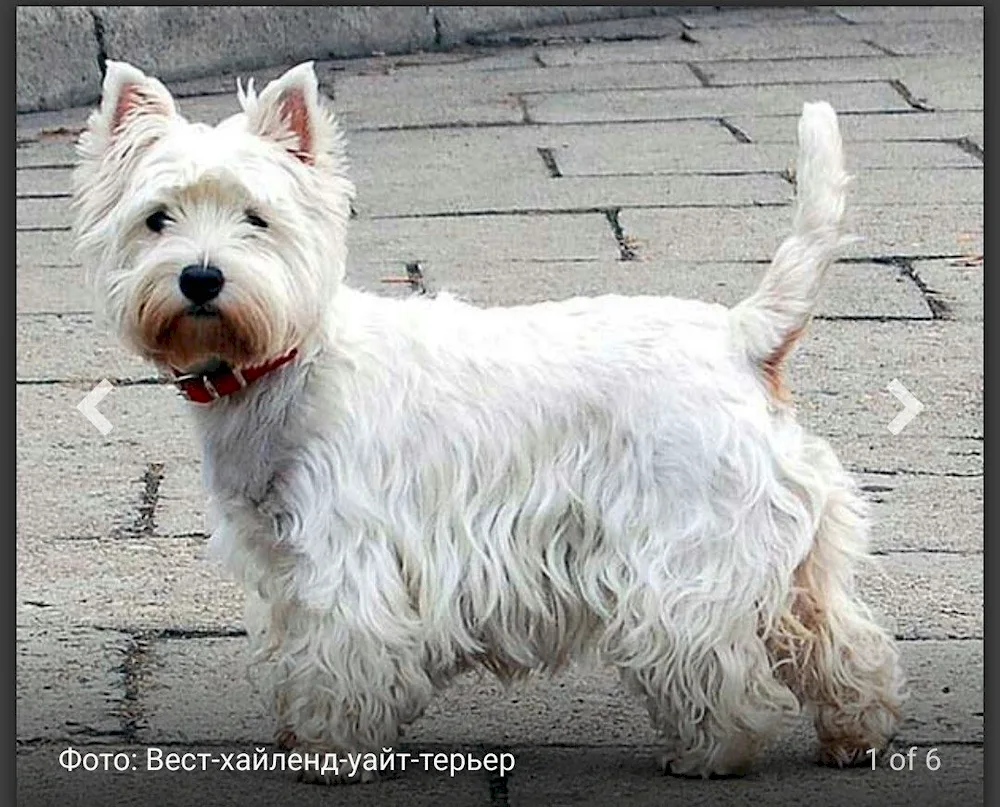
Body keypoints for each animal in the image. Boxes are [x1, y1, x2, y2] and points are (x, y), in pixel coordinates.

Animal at [74, 60, 908, 780]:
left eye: (257, 218)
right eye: (156, 220)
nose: (201, 277)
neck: (283, 361)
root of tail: (741, 335)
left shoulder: (346, 549)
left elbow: (344, 648)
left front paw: (331, 750)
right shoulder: (279, 554)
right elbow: (292, 644)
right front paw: (295, 732)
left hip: (687, 541)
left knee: (711, 652)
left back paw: (710, 751)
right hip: (795, 546)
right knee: (839, 636)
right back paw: (856, 735)